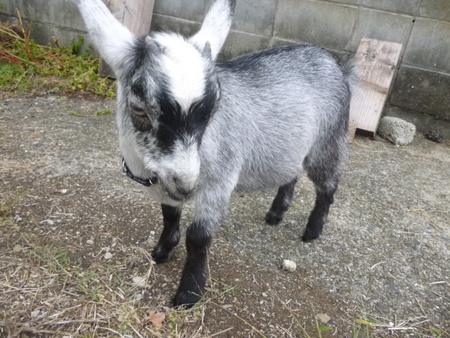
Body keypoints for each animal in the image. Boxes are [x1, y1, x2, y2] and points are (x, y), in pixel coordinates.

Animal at [77, 0, 356, 306]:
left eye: (213, 110)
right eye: (139, 109)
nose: (187, 185)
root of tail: (336, 64)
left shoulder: (220, 180)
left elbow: (198, 236)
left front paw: (188, 294)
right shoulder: (169, 182)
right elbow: (169, 214)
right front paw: (162, 251)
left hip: (328, 139)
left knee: (328, 184)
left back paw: (313, 230)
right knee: (290, 173)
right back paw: (276, 213)